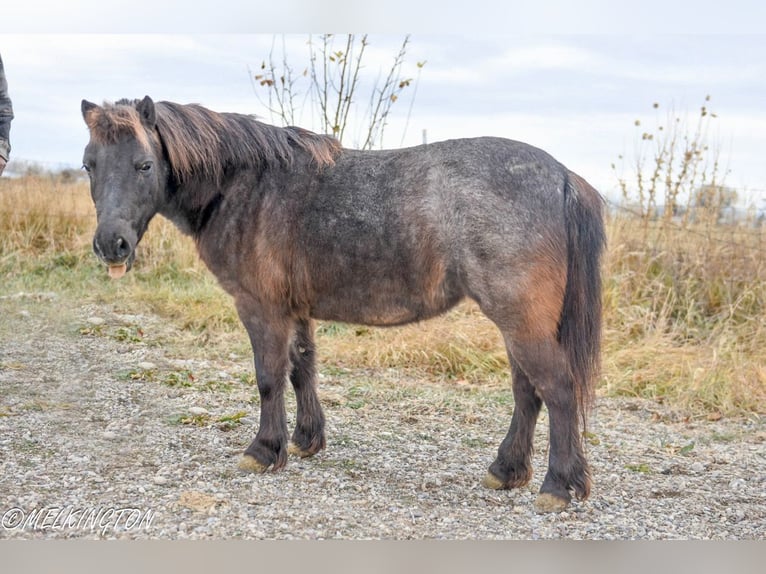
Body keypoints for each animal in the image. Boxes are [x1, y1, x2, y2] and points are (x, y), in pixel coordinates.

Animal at [79, 97, 608, 516]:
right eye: (89, 164)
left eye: (144, 165)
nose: (111, 245)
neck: (246, 186)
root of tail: (563, 177)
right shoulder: (295, 310)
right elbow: (301, 369)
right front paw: (305, 440)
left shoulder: (261, 308)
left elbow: (269, 378)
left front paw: (264, 450)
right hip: (520, 324)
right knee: (528, 393)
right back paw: (507, 470)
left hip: (521, 321)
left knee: (557, 390)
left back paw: (557, 487)